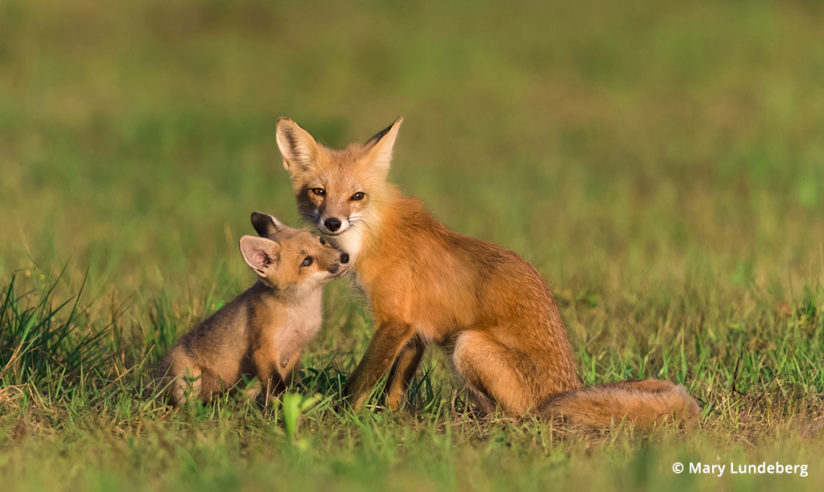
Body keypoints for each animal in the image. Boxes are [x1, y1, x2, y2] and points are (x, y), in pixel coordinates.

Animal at [274, 118, 700, 426]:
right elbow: (394, 387)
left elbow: (359, 383)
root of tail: (566, 389)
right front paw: (391, 421)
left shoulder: (394, 322)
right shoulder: (415, 329)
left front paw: (338, 421)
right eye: (318, 192)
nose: (331, 223)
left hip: (468, 345)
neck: (372, 235)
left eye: (357, 196)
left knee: (522, 416)